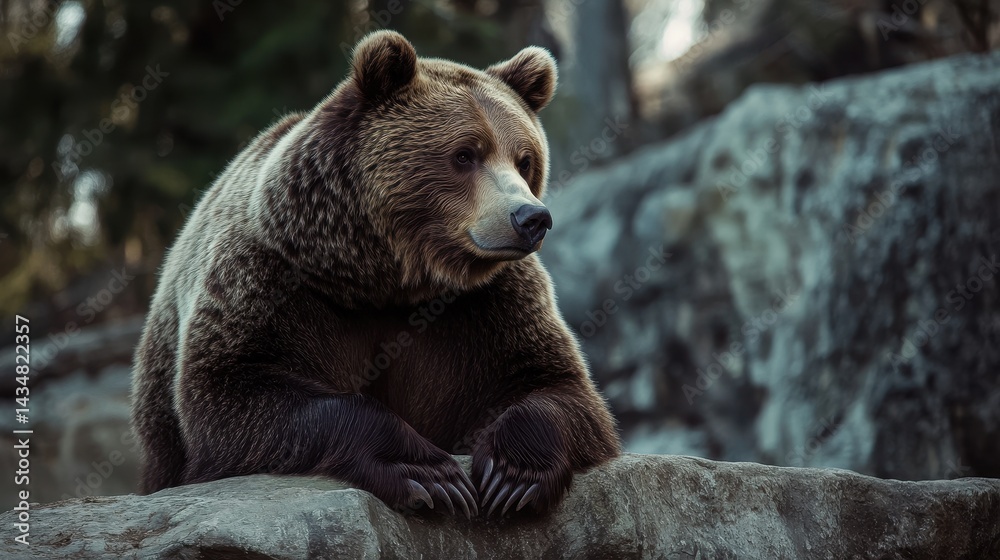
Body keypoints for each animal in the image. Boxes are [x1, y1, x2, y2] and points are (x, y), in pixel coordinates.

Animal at [131, 30, 621, 519]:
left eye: (524, 159)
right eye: (465, 154)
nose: (531, 218)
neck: (385, 278)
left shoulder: (489, 302)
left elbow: (555, 384)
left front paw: (512, 477)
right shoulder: (270, 279)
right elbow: (233, 397)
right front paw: (428, 474)